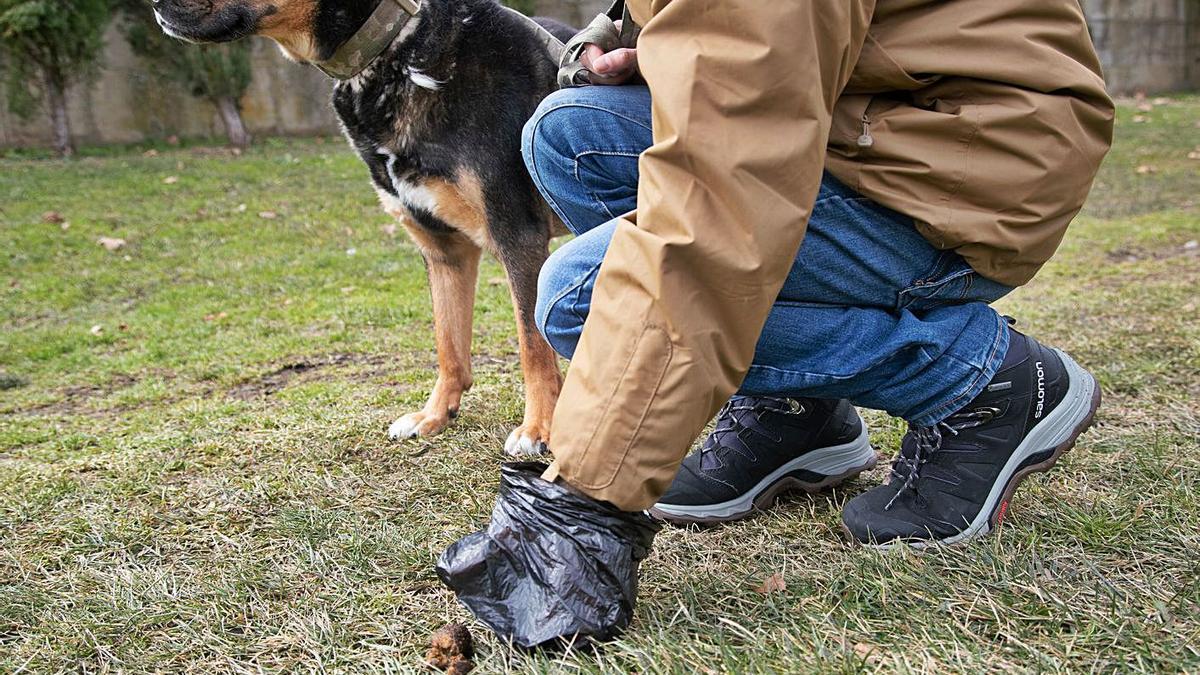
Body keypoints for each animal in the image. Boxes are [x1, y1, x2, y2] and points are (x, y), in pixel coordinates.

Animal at [151, 0, 576, 454]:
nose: (154, 6)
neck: (397, 51)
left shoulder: (517, 236)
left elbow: (533, 345)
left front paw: (539, 428)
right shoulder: (445, 252)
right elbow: (448, 343)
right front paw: (434, 414)